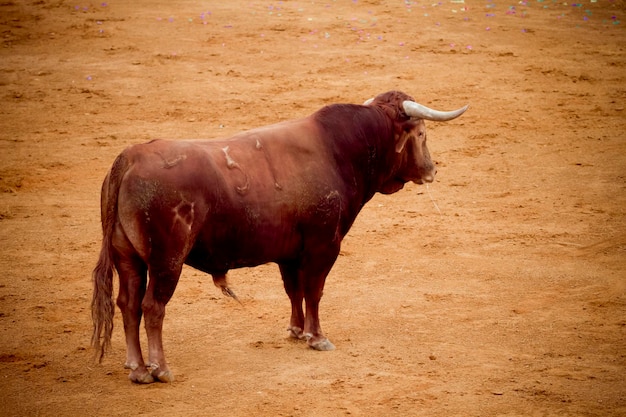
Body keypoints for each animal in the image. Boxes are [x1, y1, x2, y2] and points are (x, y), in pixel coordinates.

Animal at [90, 89, 466, 382]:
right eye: (421, 133)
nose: (432, 170)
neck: (341, 149)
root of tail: (129, 158)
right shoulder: (324, 245)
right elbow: (314, 291)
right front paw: (317, 337)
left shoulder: (289, 253)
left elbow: (293, 290)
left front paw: (296, 330)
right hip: (167, 260)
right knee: (153, 307)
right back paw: (160, 369)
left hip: (129, 258)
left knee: (128, 304)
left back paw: (137, 368)